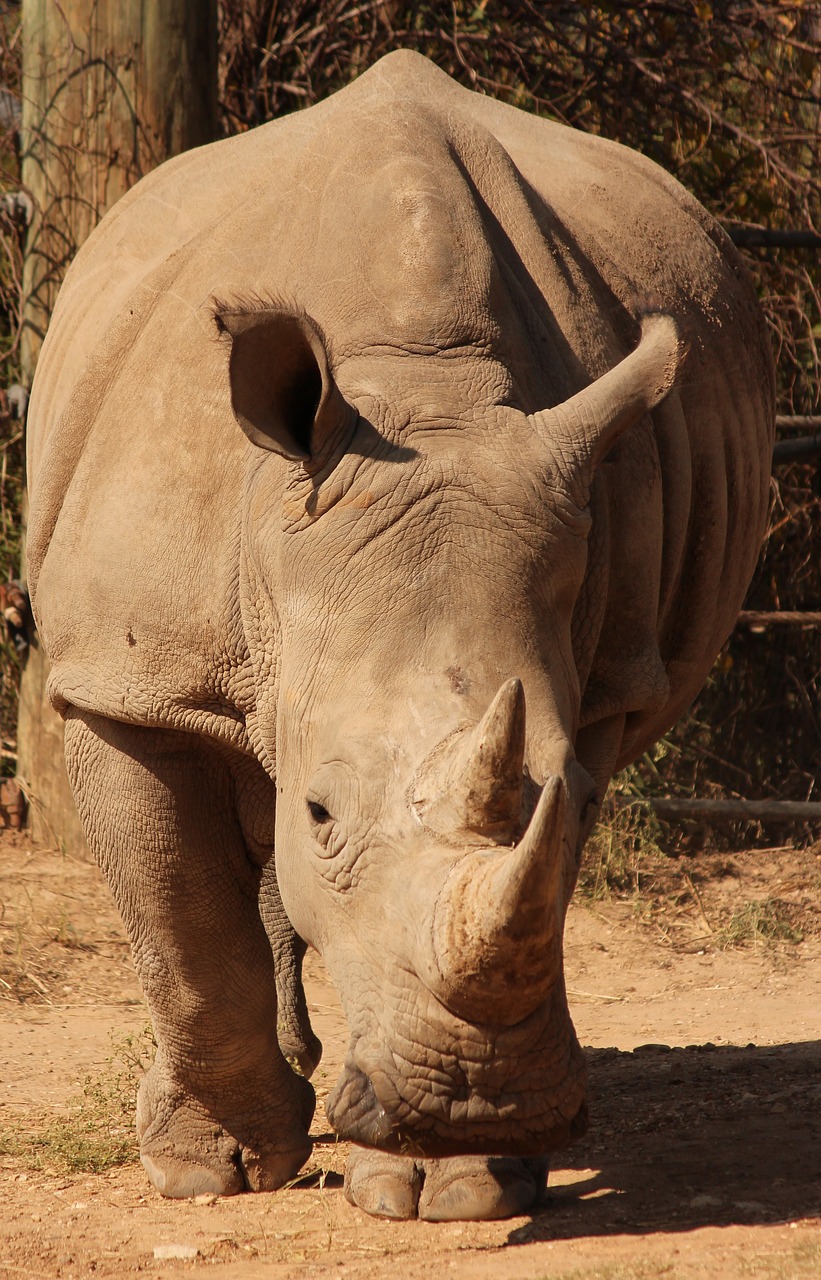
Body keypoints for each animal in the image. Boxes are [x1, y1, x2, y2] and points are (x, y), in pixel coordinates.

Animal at [24, 52, 768, 1218]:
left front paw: (449, 1182)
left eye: (568, 793)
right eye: (322, 812)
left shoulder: (600, 678)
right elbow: (182, 933)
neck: (424, 392)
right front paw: (205, 1170)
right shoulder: (130, 681)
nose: (472, 1103)